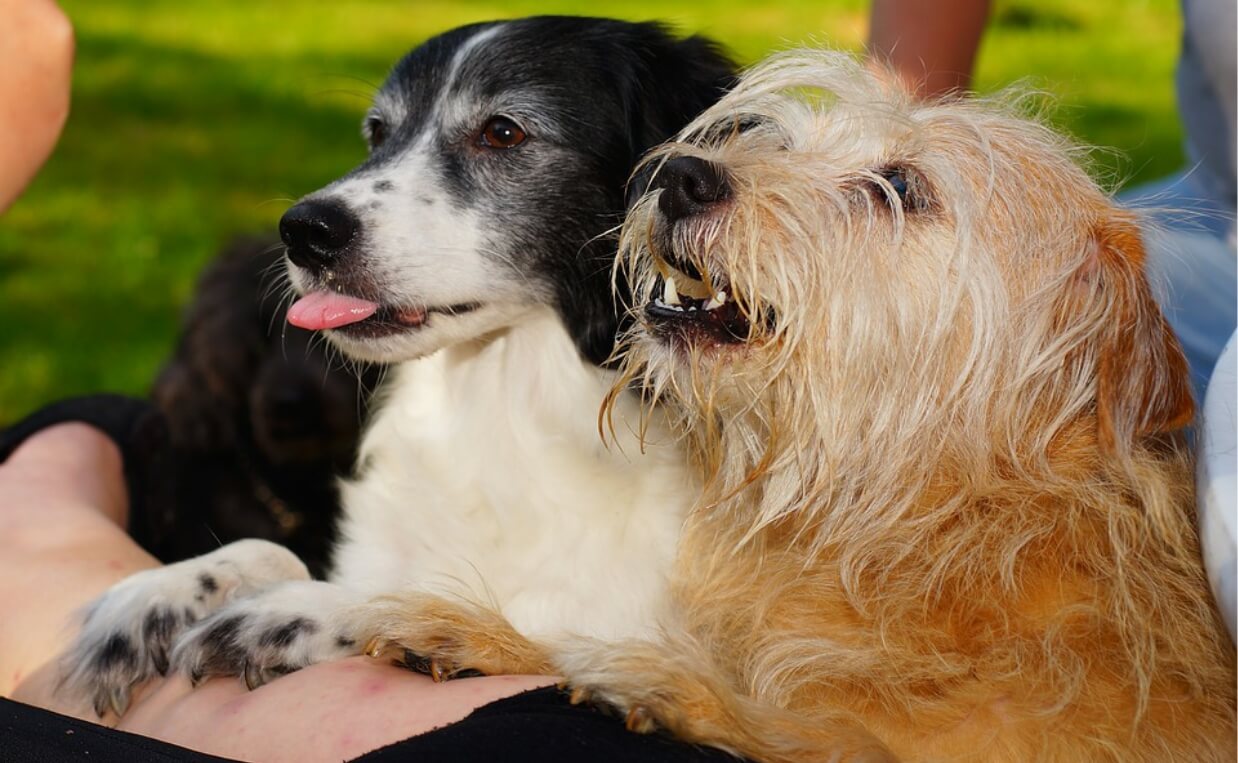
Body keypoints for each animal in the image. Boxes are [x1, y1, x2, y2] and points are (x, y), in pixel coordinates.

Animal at [60, 16, 732, 713]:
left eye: (503, 132)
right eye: (378, 133)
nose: (304, 231)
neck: (503, 406)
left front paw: (304, 612)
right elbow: (272, 548)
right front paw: (164, 593)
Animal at [361, 50, 1233, 758]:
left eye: (900, 186)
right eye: (782, 145)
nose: (681, 176)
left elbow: (834, 732)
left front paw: (681, 689)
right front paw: (495, 636)